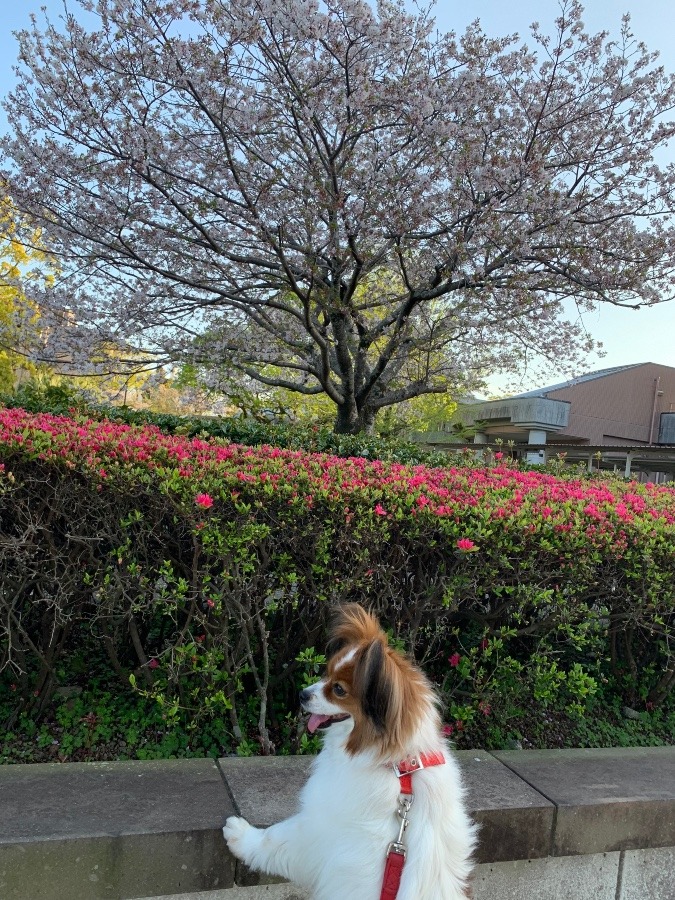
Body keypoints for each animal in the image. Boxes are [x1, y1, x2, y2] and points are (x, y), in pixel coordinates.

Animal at [224, 604, 478, 900]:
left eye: (338, 689)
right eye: (326, 672)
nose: (302, 694)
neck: (398, 766)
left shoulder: (318, 828)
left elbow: (274, 838)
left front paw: (241, 835)